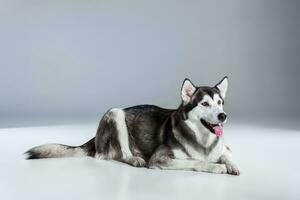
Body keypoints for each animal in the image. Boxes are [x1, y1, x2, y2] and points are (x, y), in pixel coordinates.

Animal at [27, 76, 240, 175]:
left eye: (219, 102)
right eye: (204, 104)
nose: (223, 116)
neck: (203, 140)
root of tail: (94, 139)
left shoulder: (225, 147)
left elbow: (227, 155)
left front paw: (232, 165)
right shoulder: (160, 158)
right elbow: (195, 161)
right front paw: (216, 166)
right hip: (116, 113)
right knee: (116, 155)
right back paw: (135, 158)